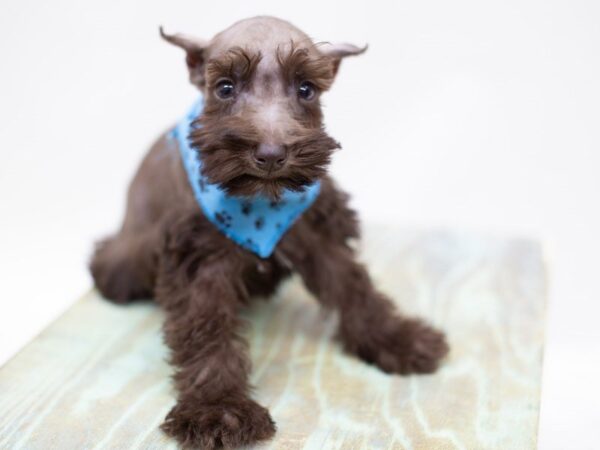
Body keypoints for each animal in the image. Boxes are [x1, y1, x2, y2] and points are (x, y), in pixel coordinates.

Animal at [90, 15, 450, 448]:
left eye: (306, 89)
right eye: (225, 87)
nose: (272, 155)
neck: (261, 205)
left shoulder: (319, 234)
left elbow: (355, 288)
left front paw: (396, 338)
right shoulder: (199, 258)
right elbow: (207, 333)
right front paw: (218, 410)